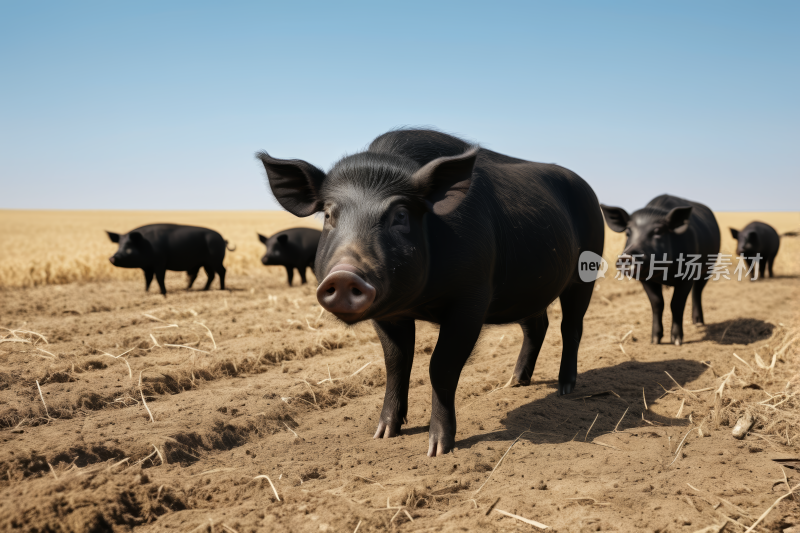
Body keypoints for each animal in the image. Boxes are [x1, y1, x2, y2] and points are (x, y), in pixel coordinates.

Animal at [260, 128, 604, 454]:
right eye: (330, 215)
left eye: (400, 215)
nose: (345, 275)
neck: (419, 302)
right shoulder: (390, 314)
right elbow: (396, 363)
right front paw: (383, 433)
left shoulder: (472, 299)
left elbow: (441, 366)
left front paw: (438, 449)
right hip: (528, 289)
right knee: (537, 325)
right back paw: (514, 384)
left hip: (586, 272)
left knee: (571, 326)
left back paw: (564, 388)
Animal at [604, 195, 720, 344]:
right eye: (628, 232)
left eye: (657, 231)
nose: (626, 257)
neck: (665, 273)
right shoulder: (646, 280)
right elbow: (657, 303)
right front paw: (654, 340)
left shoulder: (687, 276)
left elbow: (676, 304)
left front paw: (676, 341)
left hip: (709, 267)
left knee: (697, 291)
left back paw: (698, 323)